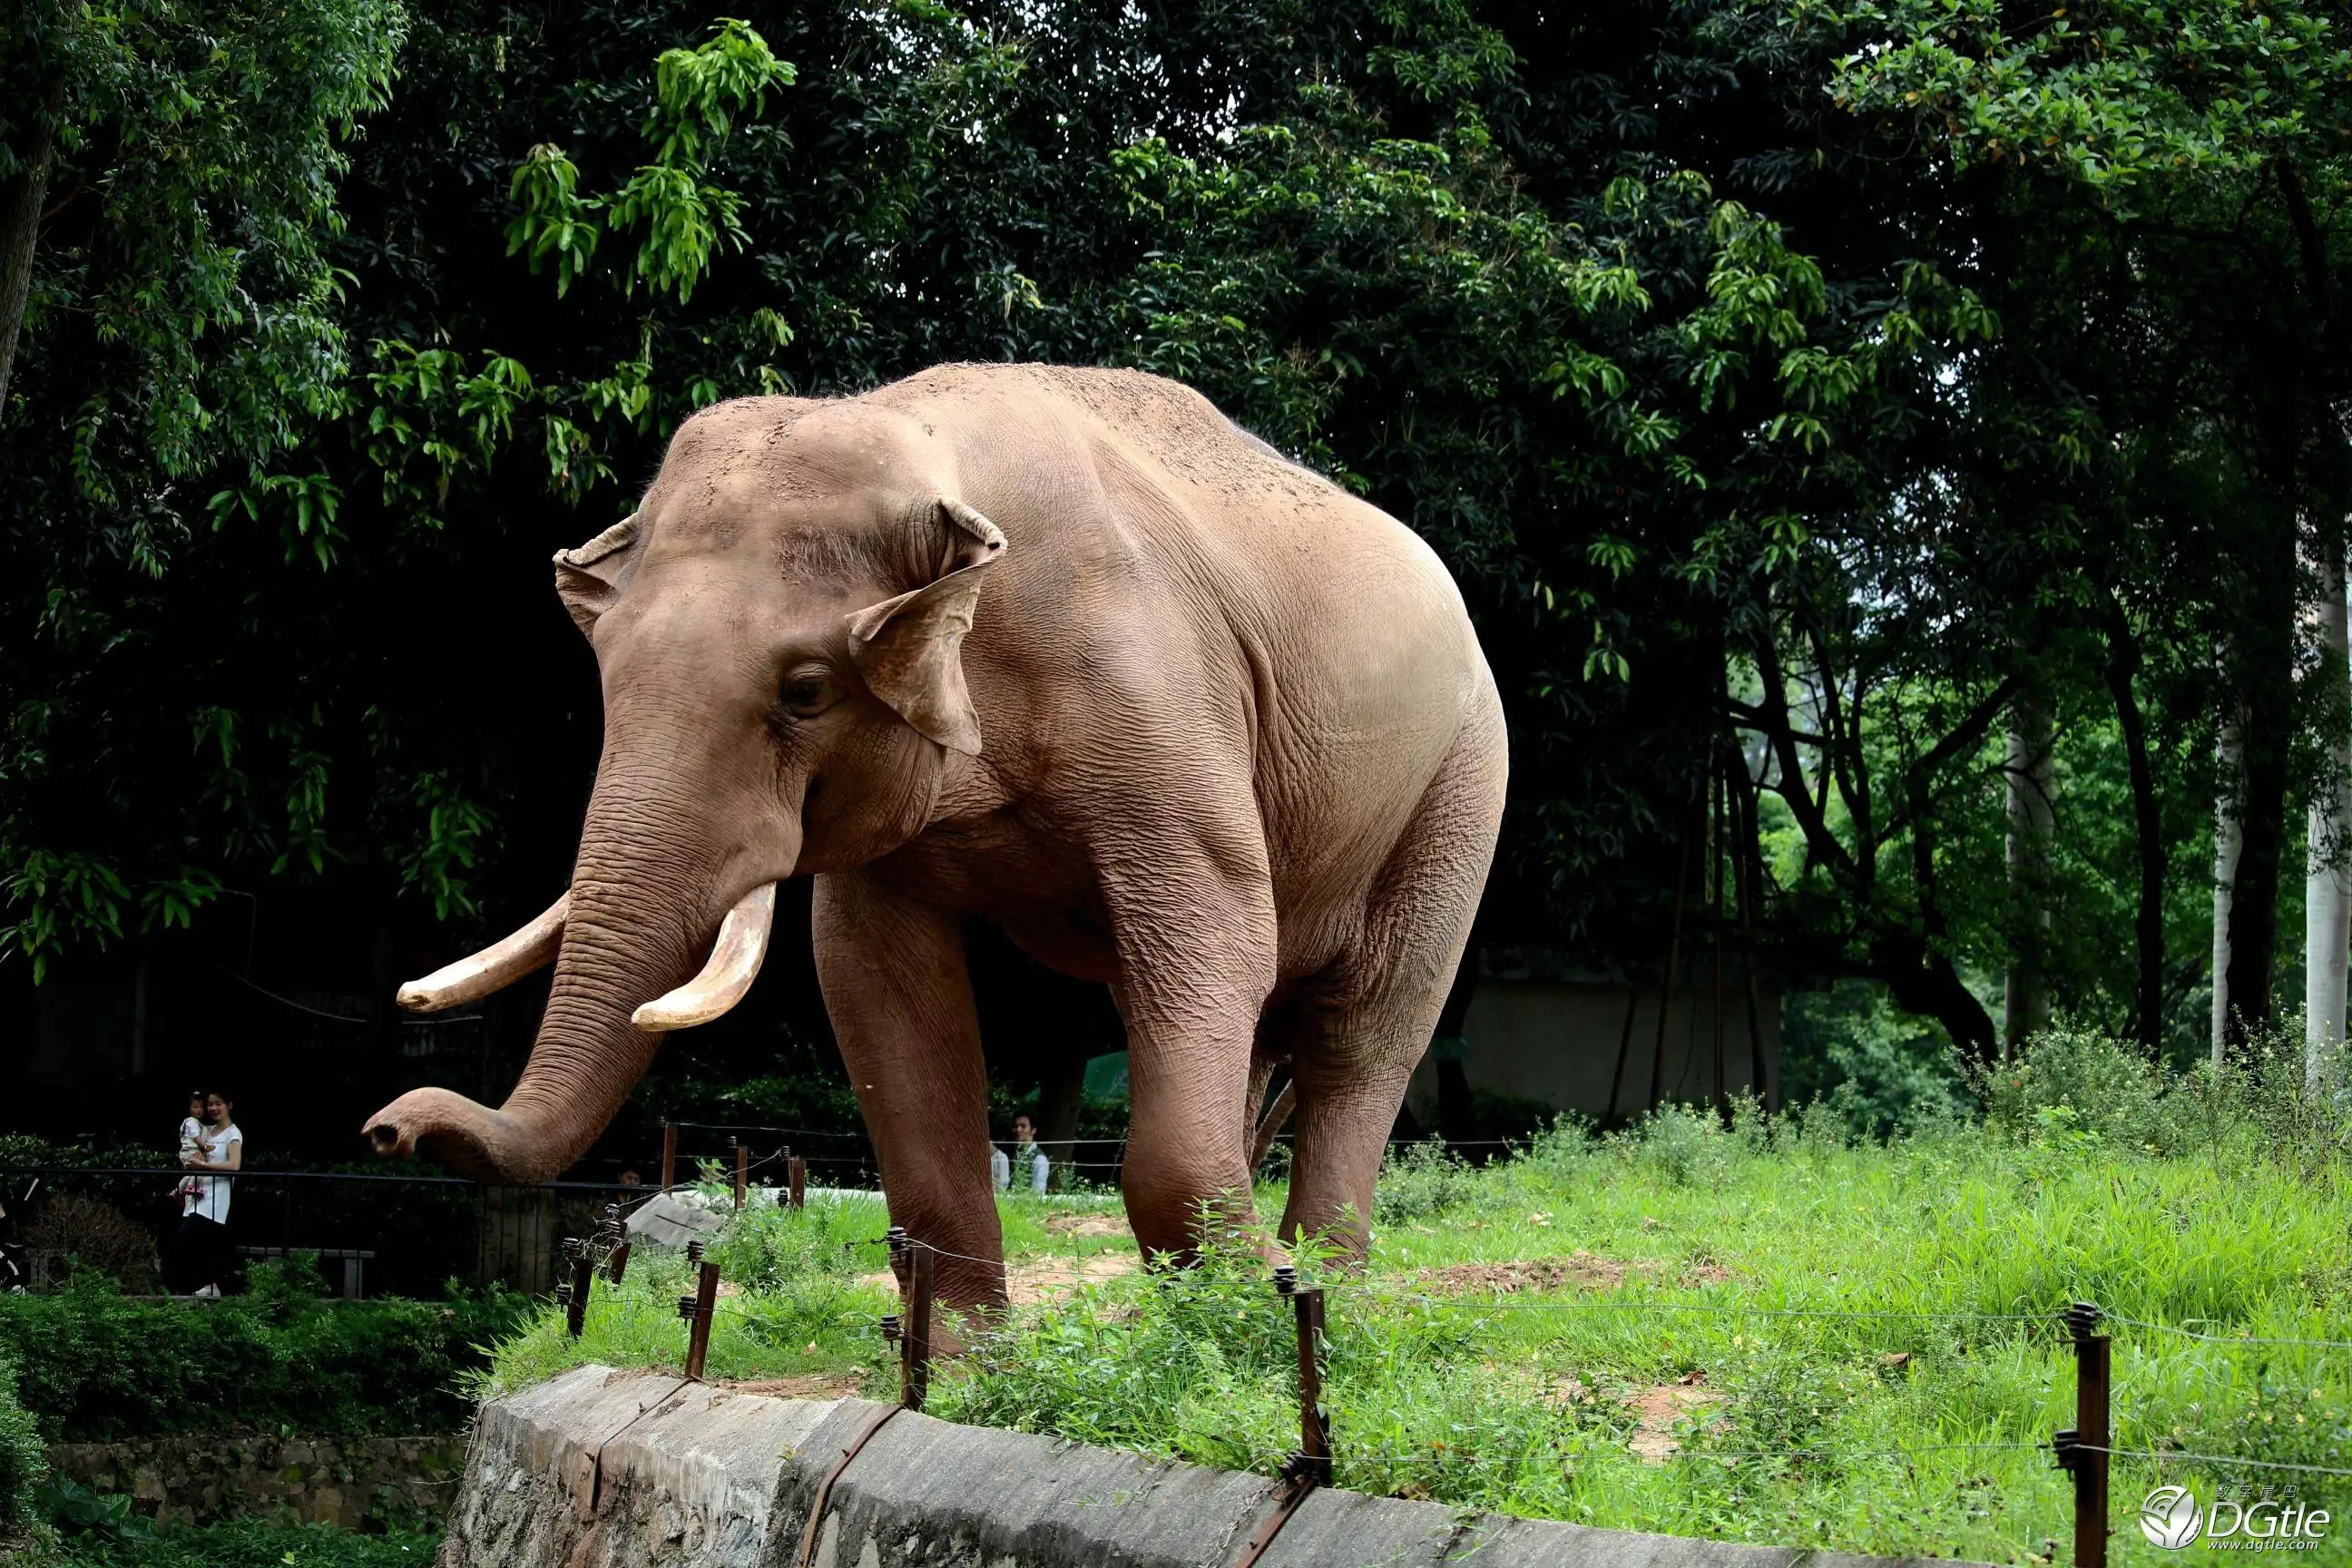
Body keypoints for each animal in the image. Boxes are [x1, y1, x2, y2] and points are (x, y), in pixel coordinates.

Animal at [367, 368, 1504, 1316]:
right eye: (604, 669)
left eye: (806, 691)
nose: (392, 1124)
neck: (919, 435)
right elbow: (874, 977)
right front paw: (959, 1373)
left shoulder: (1161, 699)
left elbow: (1208, 923)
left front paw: (1246, 1315)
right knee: (1266, 1019)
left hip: (1462, 786)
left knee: (1362, 1031)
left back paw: (1321, 1297)